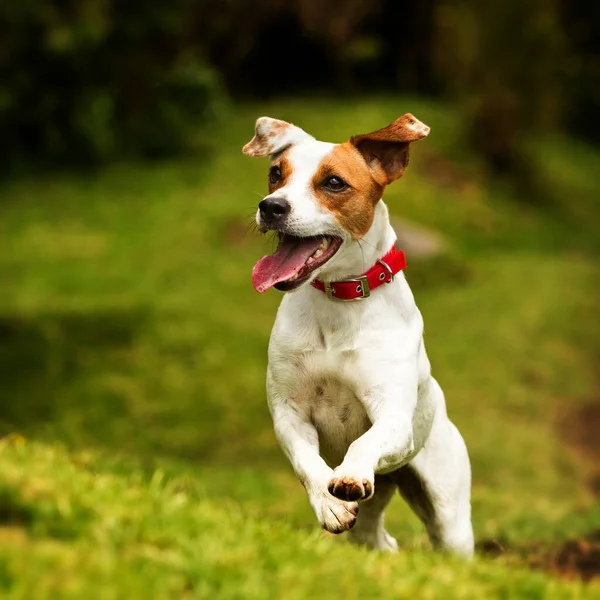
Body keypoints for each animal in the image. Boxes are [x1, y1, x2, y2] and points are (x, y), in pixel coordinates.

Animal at [243, 113, 474, 556]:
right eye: (276, 174)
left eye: (334, 182)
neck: (339, 303)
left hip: (451, 519)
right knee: (377, 538)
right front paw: (329, 504)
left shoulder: (393, 418)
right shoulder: (289, 412)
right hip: (376, 516)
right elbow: (307, 462)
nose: (271, 206)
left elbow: (362, 442)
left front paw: (348, 475)